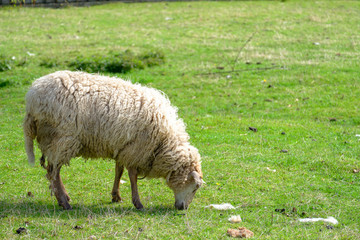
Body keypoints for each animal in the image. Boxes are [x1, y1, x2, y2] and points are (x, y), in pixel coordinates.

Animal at [23, 70, 202, 210]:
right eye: (195, 187)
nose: (183, 208)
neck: (164, 143)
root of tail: (32, 97)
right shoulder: (135, 150)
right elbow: (132, 176)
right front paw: (138, 203)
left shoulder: (123, 147)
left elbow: (119, 171)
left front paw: (116, 196)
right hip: (62, 139)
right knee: (54, 172)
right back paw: (64, 202)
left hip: (54, 140)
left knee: (53, 171)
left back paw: (64, 198)